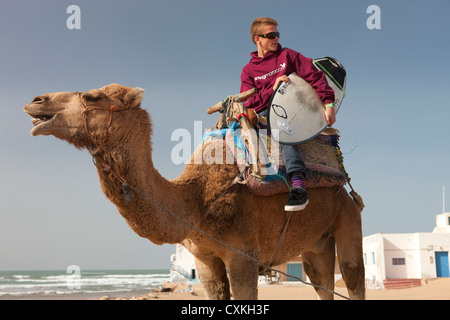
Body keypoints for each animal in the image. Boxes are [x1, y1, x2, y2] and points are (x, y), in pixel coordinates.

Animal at [22, 83, 364, 300]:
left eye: (92, 96)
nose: (36, 101)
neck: (197, 201)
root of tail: (345, 186)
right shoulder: (204, 259)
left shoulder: (243, 254)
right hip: (316, 244)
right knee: (322, 282)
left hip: (347, 215)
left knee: (351, 275)